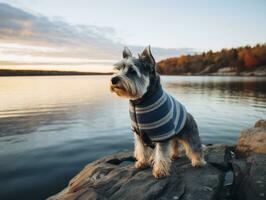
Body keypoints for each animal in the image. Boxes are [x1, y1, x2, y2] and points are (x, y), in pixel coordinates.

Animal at [109, 45, 206, 178]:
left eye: (133, 71)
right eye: (118, 69)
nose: (113, 79)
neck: (140, 101)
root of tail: (188, 114)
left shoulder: (162, 134)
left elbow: (161, 154)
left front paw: (160, 171)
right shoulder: (138, 134)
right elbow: (141, 150)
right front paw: (142, 162)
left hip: (190, 134)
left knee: (195, 147)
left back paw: (198, 161)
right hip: (174, 136)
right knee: (174, 145)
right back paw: (174, 154)